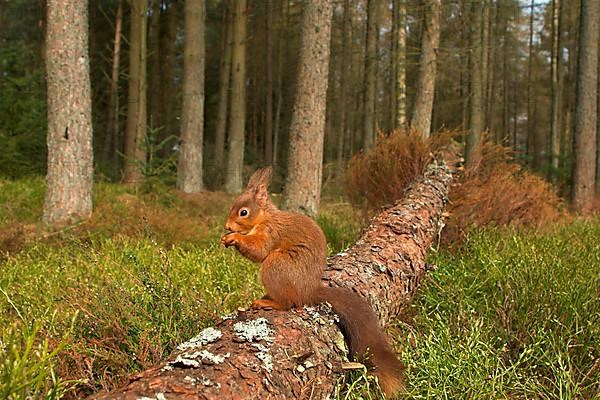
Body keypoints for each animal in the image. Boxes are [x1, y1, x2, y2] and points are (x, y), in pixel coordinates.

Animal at [220, 166, 404, 396]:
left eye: (243, 212)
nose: (227, 227)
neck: (265, 217)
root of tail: (308, 291)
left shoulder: (270, 232)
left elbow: (259, 250)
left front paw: (235, 238)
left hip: (276, 266)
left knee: (289, 302)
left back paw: (269, 302)